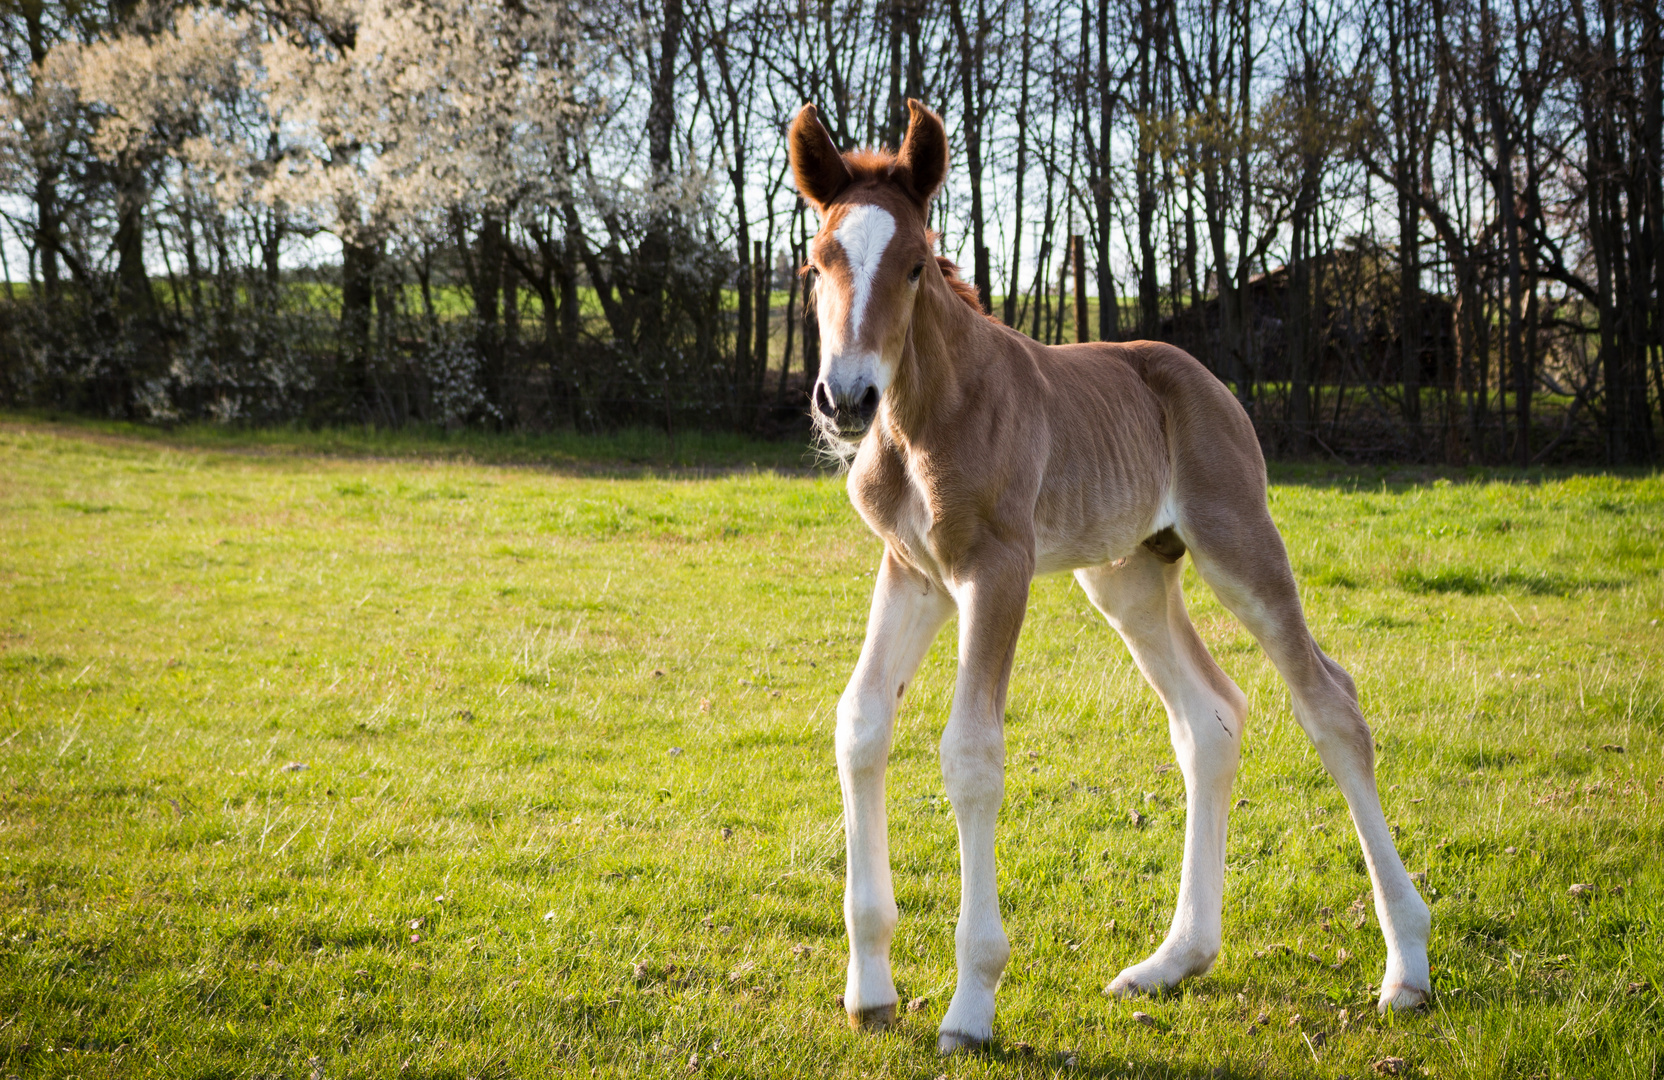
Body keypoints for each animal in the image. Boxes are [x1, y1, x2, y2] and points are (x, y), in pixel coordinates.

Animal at [792, 103, 1431, 1051]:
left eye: (914, 265)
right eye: (817, 262)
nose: (847, 401)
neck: (925, 415)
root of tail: (1209, 381)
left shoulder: (996, 569)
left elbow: (971, 754)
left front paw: (970, 1005)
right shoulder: (912, 572)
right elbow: (862, 723)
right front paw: (870, 988)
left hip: (1239, 543)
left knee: (1331, 705)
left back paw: (1406, 966)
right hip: (1130, 577)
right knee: (1211, 716)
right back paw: (1173, 962)